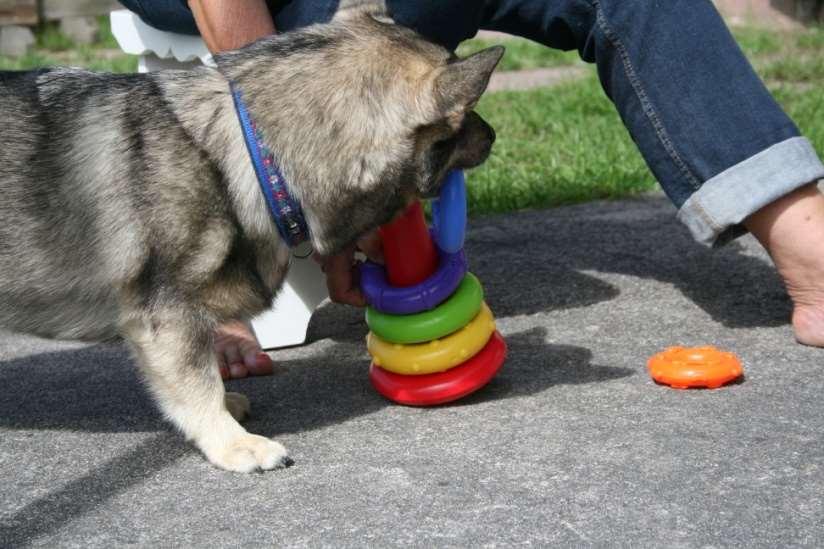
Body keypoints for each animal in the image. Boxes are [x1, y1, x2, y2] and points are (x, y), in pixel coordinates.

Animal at [0, 0, 502, 470]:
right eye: (466, 115)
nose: (495, 133)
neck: (254, 150)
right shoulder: (167, 318)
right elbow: (197, 384)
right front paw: (233, 443)